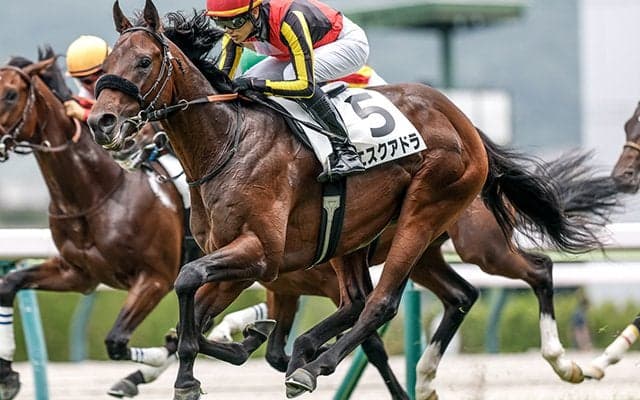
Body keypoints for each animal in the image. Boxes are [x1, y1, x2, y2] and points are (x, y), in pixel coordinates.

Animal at [88, 2, 609, 398]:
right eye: (106, 66)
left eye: (144, 62)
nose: (102, 123)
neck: (227, 142)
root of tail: (462, 120)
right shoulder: (248, 264)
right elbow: (187, 321)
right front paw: (221, 351)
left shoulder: (260, 252)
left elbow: (187, 283)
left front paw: (194, 373)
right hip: (359, 236)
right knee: (415, 297)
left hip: (434, 216)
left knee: (388, 301)